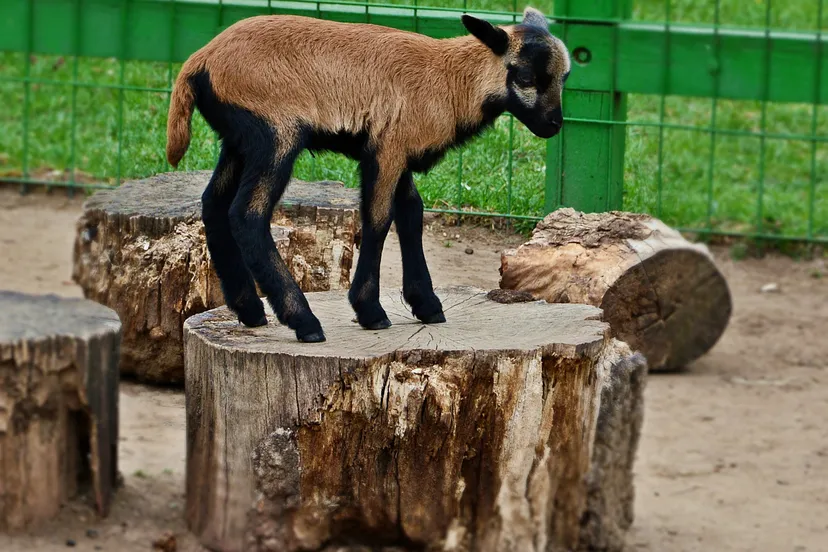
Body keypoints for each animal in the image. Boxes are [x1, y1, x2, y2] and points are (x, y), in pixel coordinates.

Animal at [165, 7, 571, 343]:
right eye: (526, 77)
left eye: (564, 77)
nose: (554, 125)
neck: (450, 80)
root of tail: (200, 60)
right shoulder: (387, 148)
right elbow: (378, 219)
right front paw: (370, 311)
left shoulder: (397, 150)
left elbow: (412, 214)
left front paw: (427, 305)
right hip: (274, 134)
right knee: (247, 215)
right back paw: (304, 322)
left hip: (238, 140)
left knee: (213, 204)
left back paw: (250, 310)